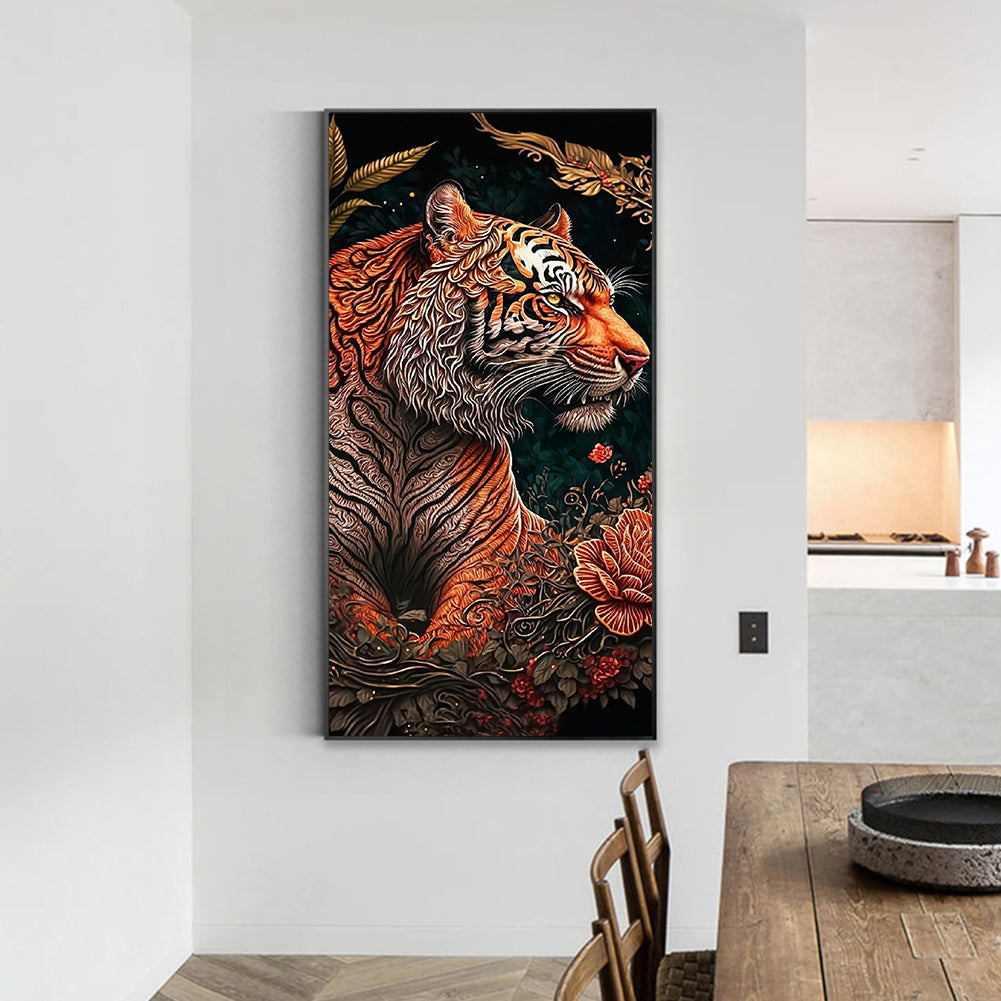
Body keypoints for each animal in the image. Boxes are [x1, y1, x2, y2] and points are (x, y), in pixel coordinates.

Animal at [328, 180, 649, 653]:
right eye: (557, 300)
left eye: (608, 300)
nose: (641, 359)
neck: (407, 423)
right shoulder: (341, 563)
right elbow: (372, 635)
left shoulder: (488, 558)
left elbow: (453, 643)